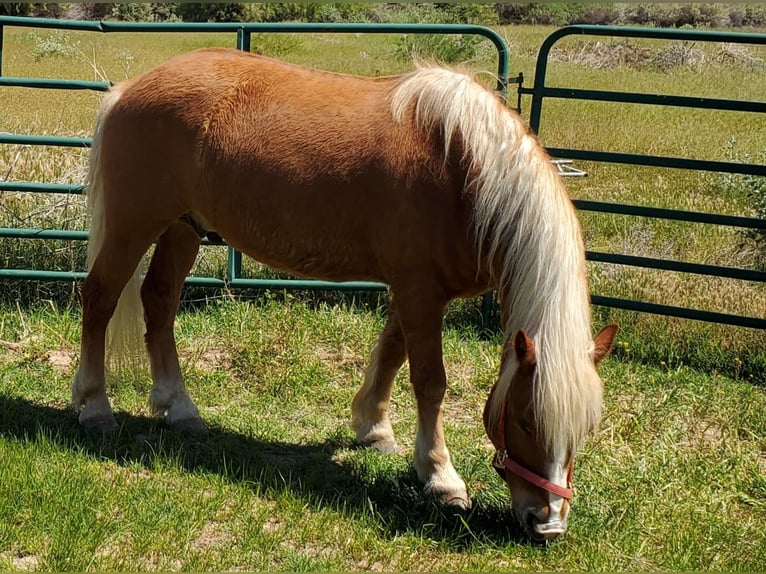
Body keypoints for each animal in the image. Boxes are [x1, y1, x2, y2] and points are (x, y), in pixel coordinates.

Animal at [72, 47, 620, 544]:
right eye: (526, 421)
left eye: (586, 429)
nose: (547, 524)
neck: (462, 169)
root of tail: (127, 90)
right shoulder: (419, 289)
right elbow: (430, 381)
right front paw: (440, 477)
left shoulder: (417, 289)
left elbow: (392, 352)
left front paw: (374, 428)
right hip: (133, 224)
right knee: (100, 298)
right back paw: (95, 407)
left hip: (183, 228)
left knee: (159, 301)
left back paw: (180, 408)